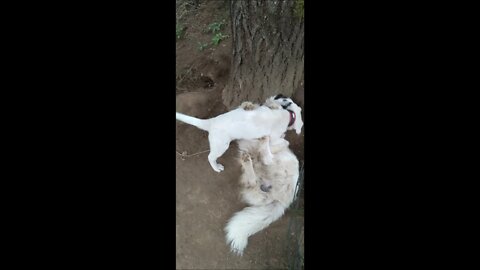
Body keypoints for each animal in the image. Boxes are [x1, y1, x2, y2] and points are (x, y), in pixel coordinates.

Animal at [176, 94, 304, 172]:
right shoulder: (274, 138)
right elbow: (284, 141)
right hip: (221, 145)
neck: (287, 116)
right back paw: (216, 168)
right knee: (210, 157)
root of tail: (211, 122)